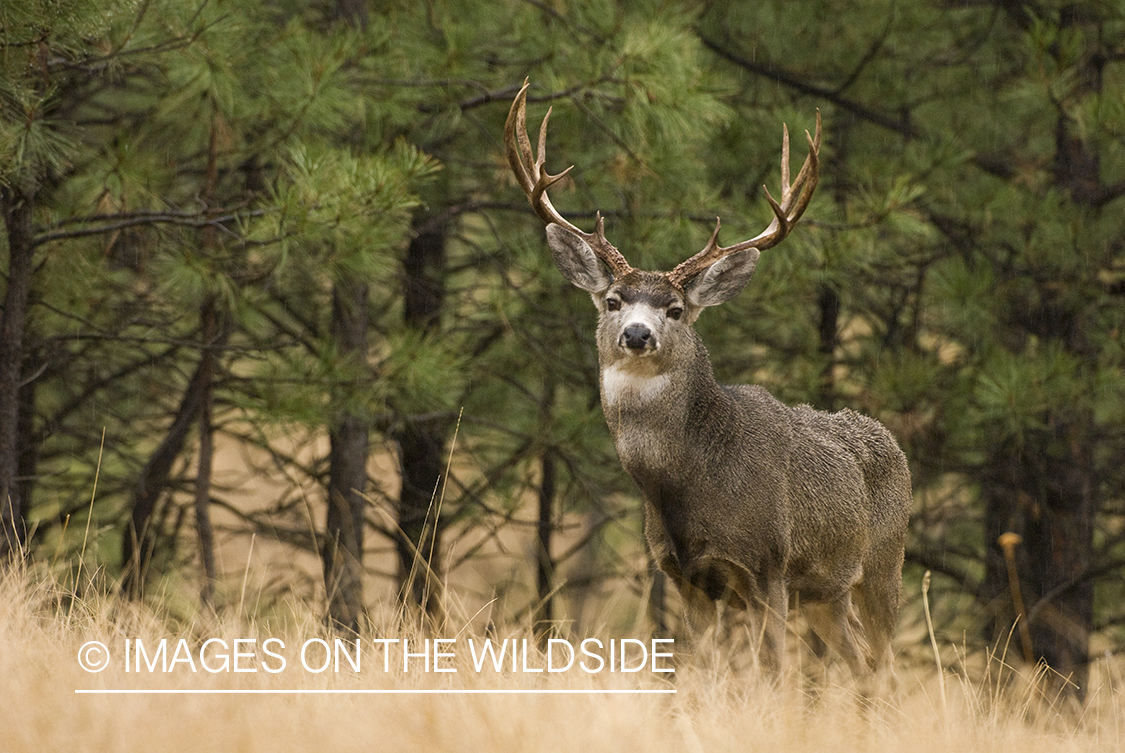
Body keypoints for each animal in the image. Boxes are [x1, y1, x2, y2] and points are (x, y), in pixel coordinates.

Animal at [504, 81, 912, 687]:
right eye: (612, 300)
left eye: (675, 309)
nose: (637, 333)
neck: (689, 486)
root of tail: (889, 439)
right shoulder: (685, 575)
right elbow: (694, 673)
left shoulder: (769, 564)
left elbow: (772, 674)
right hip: (826, 595)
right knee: (861, 664)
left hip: (884, 563)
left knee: (883, 665)